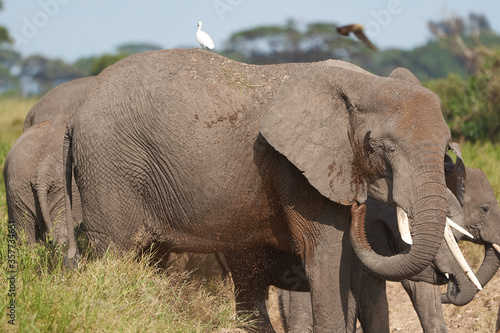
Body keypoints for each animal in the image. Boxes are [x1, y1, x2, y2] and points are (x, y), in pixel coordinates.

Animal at [64, 48, 462, 330]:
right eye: (384, 148)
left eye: (447, 145)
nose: (361, 202)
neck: (362, 83)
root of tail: (76, 112)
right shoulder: (294, 170)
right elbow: (325, 254)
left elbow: (345, 265)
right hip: (110, 169)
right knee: (117, 256)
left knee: (152, 261)